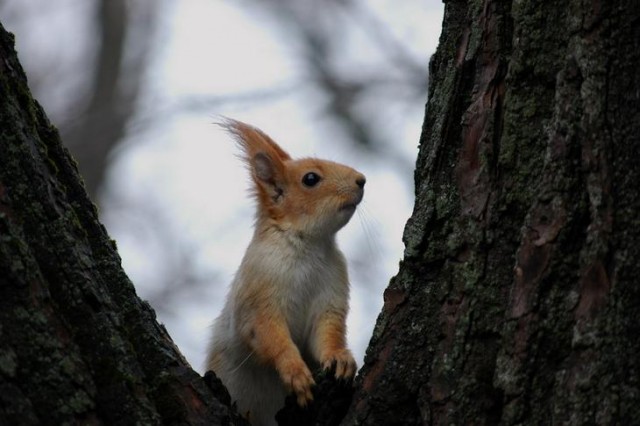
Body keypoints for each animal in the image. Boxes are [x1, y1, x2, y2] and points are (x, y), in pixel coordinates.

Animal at [205, 118, 364, 424]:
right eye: (310, 179)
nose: (361, 179)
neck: (310, 246)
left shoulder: (332, 294)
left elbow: (327, 331)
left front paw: (340, 358)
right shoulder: (259, 294)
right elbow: (270, 336)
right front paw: (296, 374)